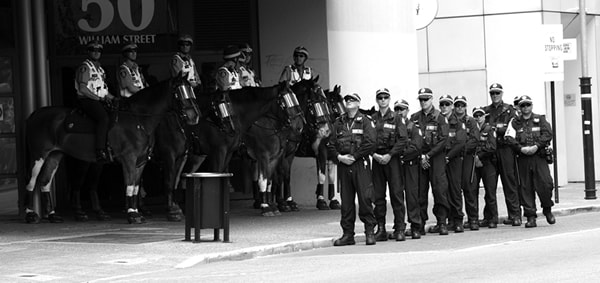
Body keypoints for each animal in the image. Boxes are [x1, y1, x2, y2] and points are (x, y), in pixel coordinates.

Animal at [24, 74, 198, 225]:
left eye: (190, 90)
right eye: (178, 92)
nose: (193, 116)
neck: (138, 119)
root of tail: (34, 114)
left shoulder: (142, 161)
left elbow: (137, 187)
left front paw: (136, 212)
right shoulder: (133, 159)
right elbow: (133, 185)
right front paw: (133, 214)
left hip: (55, 155)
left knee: (45, 181)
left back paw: (53, 215)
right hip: (39, 155)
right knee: (33, 181)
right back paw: (32, 214)